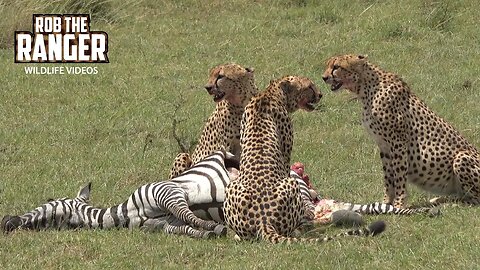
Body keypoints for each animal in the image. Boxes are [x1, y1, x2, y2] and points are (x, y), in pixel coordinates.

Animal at [223, 75, 384, 244]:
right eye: (309, 87)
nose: (320, 94)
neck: (270, 94)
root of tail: (263, 220)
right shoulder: (286, 158)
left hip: (231, 187)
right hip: (291, 184)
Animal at [320, 53, 480, 208]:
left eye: (336, 67)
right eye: (327, 65)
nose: (324, 77)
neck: (366, 88)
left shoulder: (397, 142)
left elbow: (399, 174)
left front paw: (398, 204)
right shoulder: (383, 145)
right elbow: (388, 176)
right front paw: (386, 202)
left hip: (461, 157)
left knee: (474, 200)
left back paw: (451, 204)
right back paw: (439, 200)